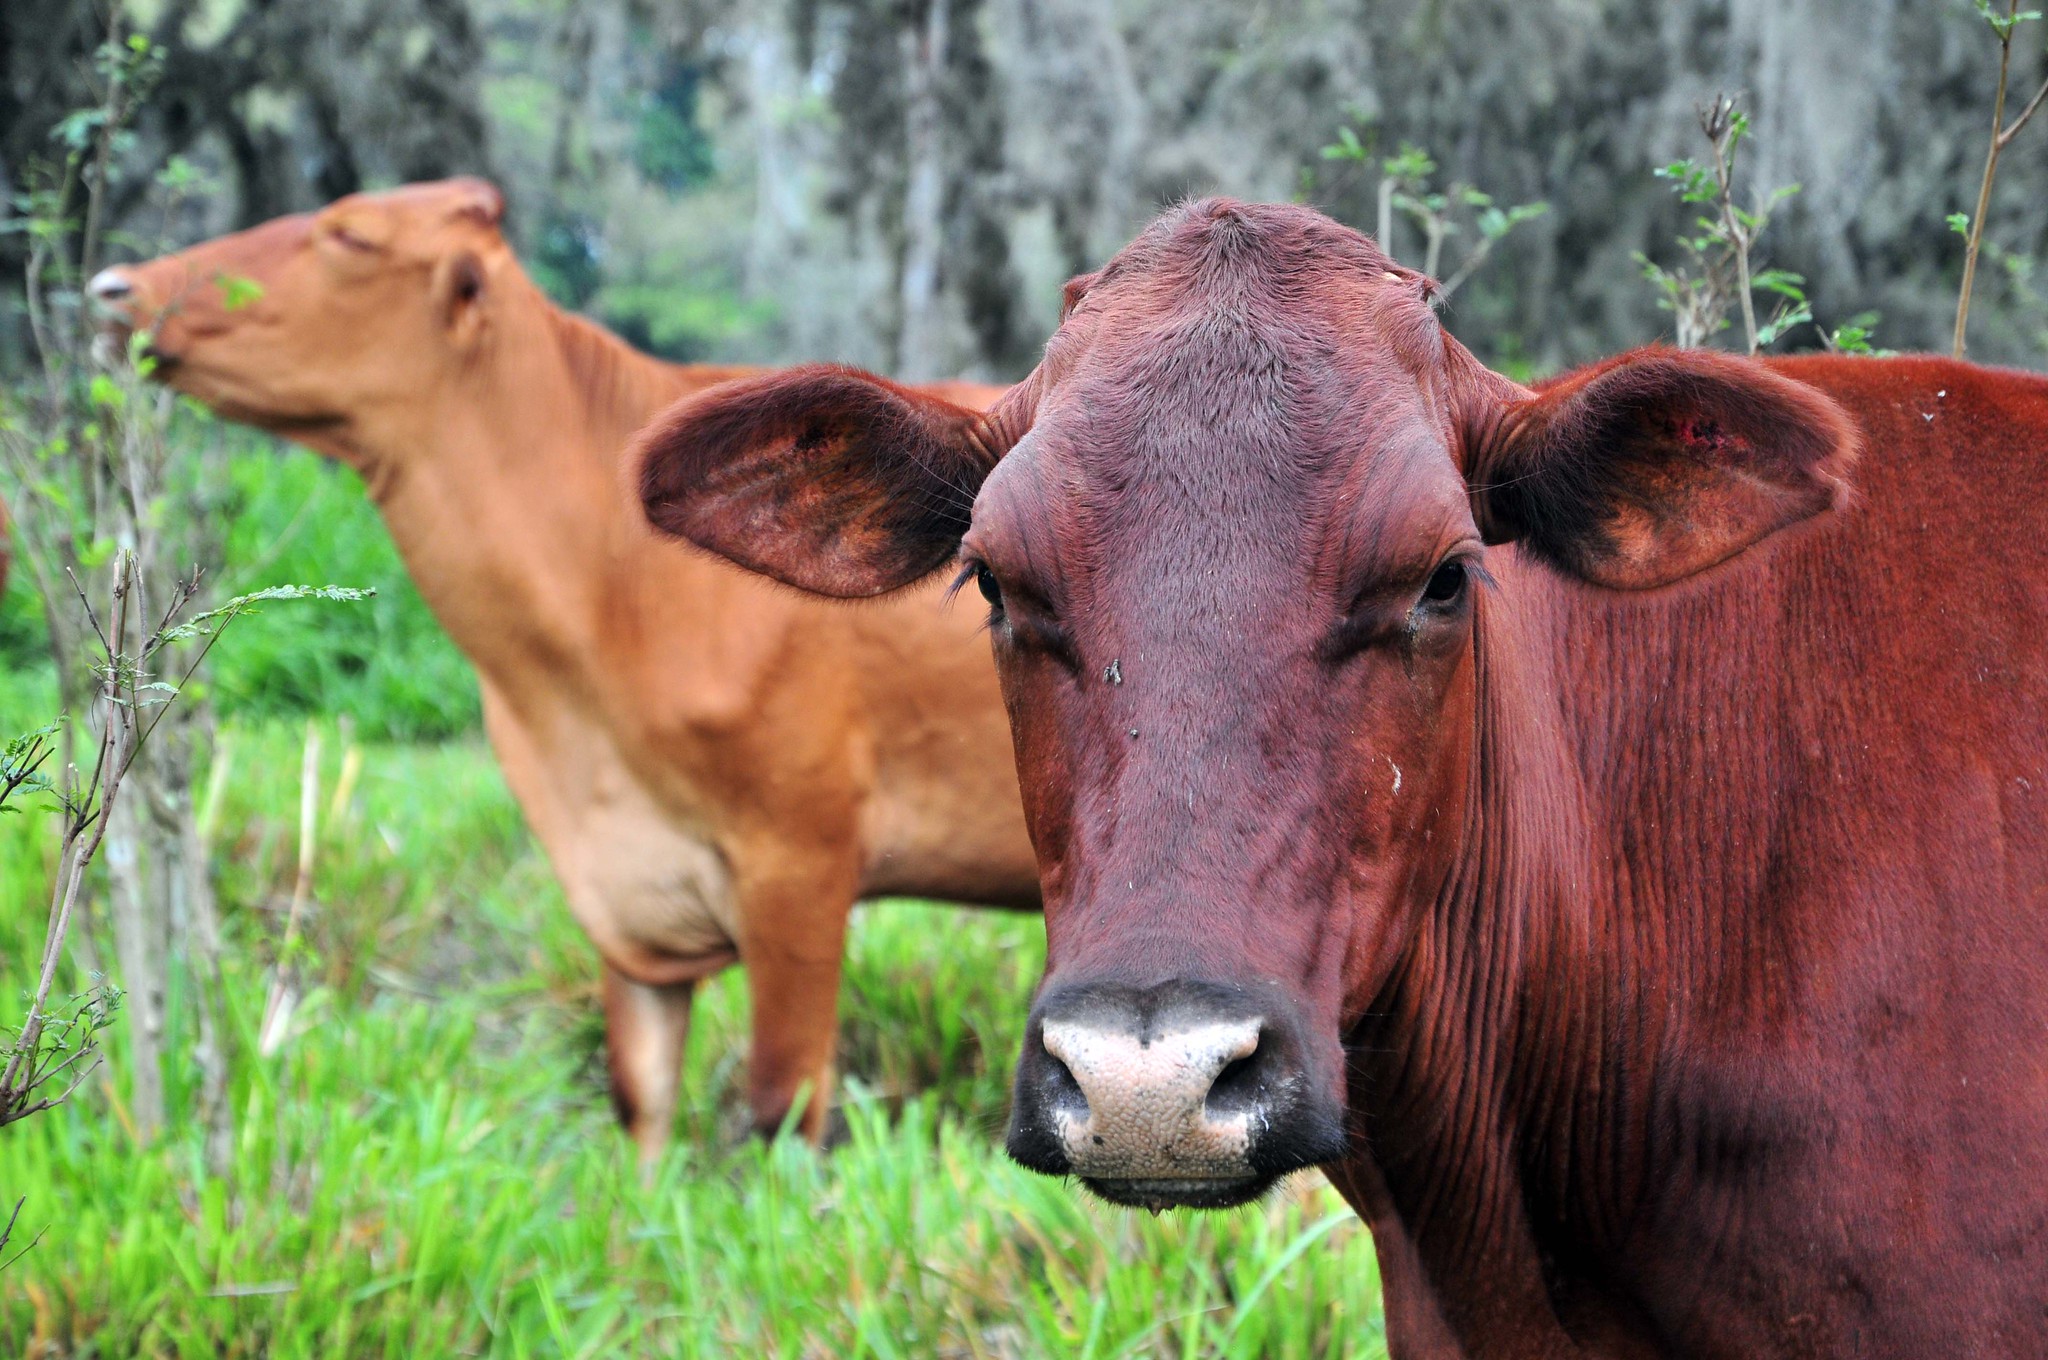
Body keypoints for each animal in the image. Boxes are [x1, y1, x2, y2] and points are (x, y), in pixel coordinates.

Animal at [92, 180, 1040, 1155]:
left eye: (350, 234)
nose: (114, 288)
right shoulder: (622, 893)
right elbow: (639, 1099)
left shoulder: (802, 858)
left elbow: (779, 1108)